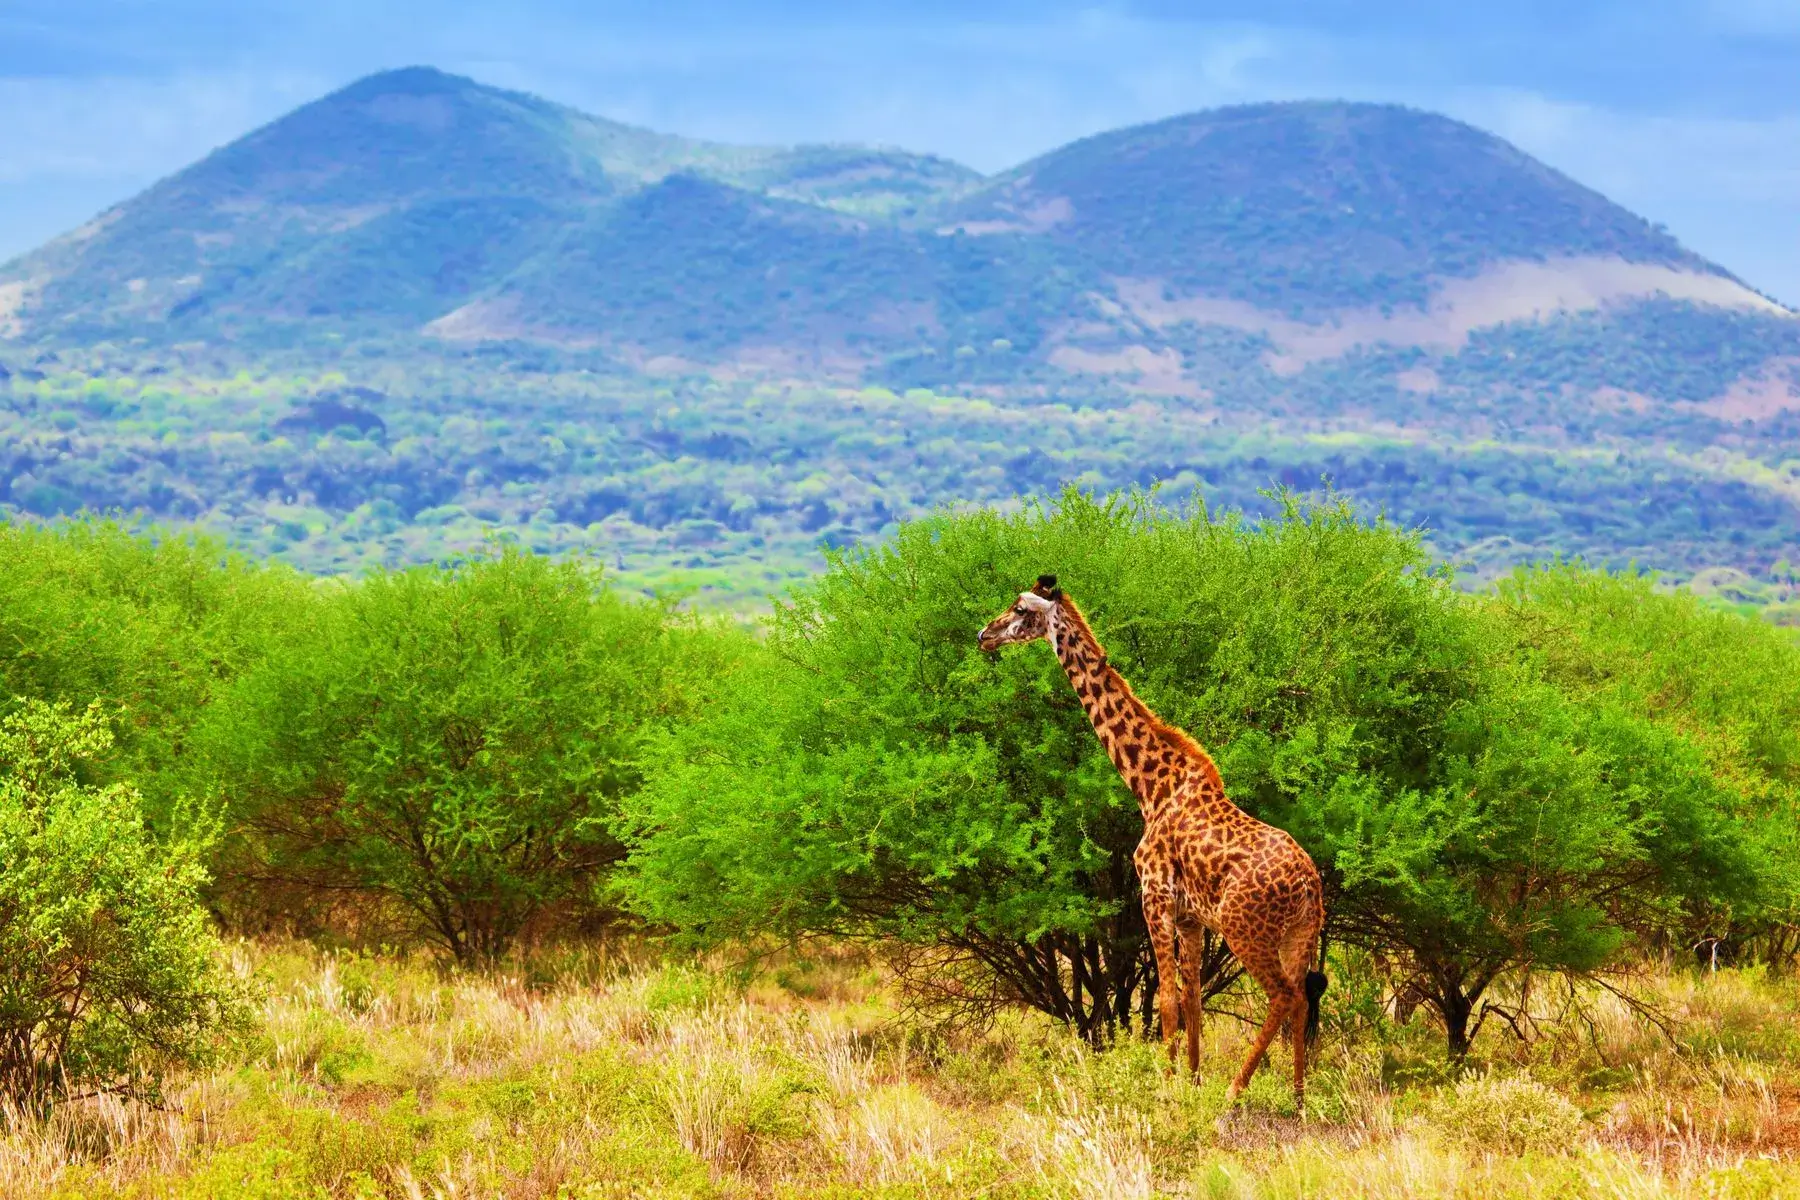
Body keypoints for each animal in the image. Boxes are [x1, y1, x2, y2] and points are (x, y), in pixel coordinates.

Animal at [978, 574, 1328, 1109]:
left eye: (1019, 608)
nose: (985, 635)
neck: (1150, 786)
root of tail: (1311, 887)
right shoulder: (1191, 918)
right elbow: (1193, 1000)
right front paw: (1192, 1081)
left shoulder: (1155, 896)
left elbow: (1164, 1000)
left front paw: (1167, 1090)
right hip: (1298, 937)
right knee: (1303, 1000)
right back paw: (1298, 1097)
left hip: (1245, 930)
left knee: (1284, 995)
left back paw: (1236, 1090)